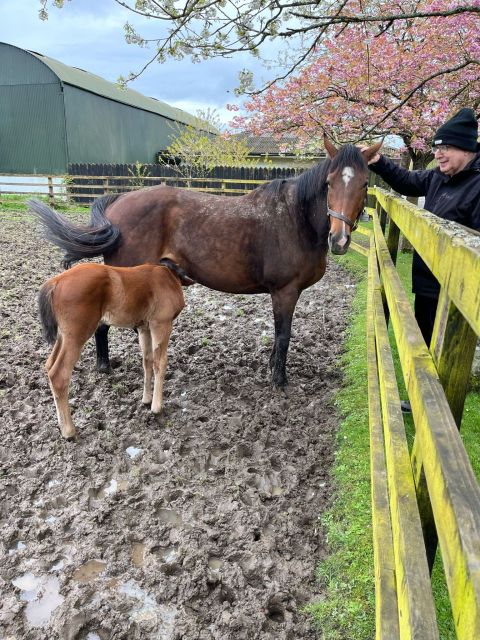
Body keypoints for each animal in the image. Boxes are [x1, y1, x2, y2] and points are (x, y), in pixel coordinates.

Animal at [37, 262, 184, 438]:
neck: (168, 274)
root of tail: (56, 281)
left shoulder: (144, 328)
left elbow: (147, 360)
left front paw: (147, 399)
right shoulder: (161, 324)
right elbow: (160, 363)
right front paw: (157, 407)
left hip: (63, 336)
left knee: (49, 364)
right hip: (77, 335)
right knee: (59, 374)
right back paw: (69, 431)